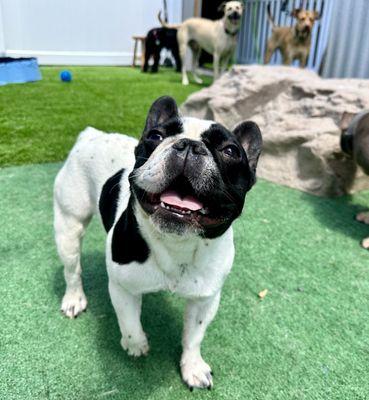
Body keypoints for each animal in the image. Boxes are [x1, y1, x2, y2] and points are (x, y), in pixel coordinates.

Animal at [54, 95, 262, 390]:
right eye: (155, 136)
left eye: (231, 151)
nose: (189, 145)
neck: (178, 243)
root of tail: (92, 135)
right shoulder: (122, 287)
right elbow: (129, 322)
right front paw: (136, 345)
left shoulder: (205, 299)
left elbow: (194, 335)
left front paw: (193, 366)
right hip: (69, 225)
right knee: (72, 269)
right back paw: (74, 299)